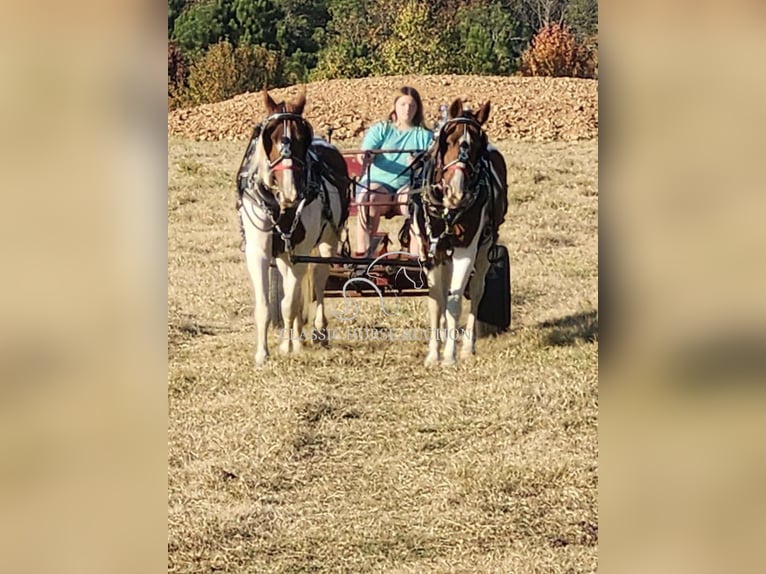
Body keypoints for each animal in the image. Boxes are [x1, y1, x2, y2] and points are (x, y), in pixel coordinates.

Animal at [236, 89, 350, 366]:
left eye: (300, 139)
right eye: (272, 137)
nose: (291, 192)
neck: (280, 204)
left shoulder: (299, 252)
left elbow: (290, 303)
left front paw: (287, 347)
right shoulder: (259, 252)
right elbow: (267, 306)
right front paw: (262, 353)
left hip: (325, 243)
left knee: (317, 282)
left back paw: (318, 332)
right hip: (284, 255)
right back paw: (298, 336)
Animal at [409, 98, 508, 365]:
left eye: (477, 145)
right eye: (448, 140)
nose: (457, 191)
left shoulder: (466, 250)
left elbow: (454, 301)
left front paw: (450, 356)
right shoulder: (429, 251)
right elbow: (437, 300)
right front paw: (434, 353)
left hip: (486, 247)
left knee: (476, 290)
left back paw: (467, 346)